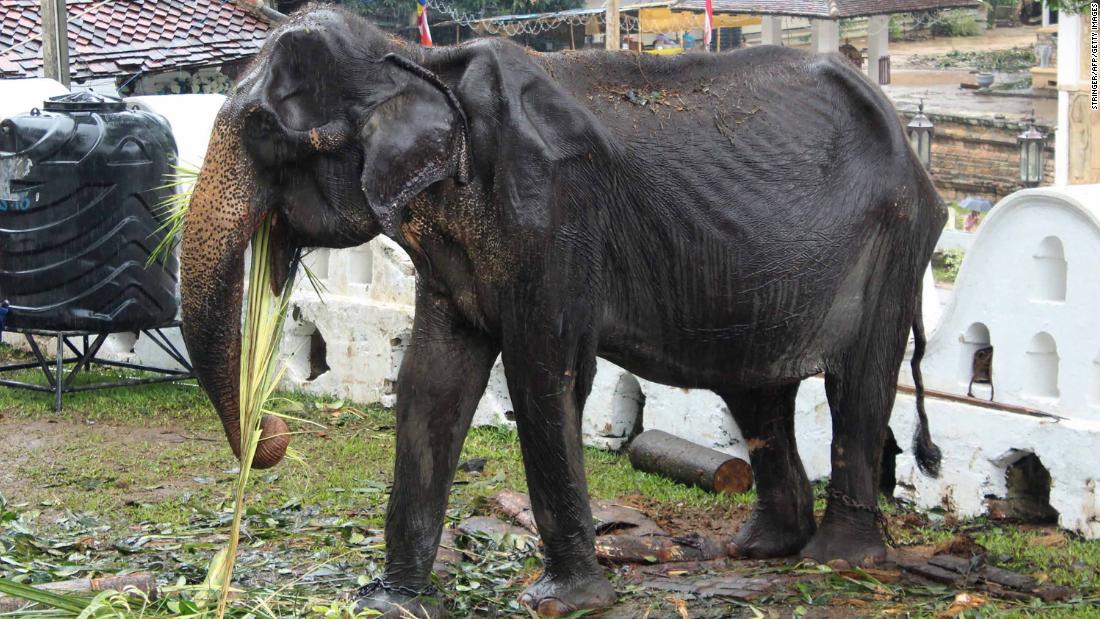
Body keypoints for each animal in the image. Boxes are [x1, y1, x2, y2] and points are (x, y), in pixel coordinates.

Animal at [178, 6, 946, 619]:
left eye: (265, 133)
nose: (273, 428)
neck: (421, 65)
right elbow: (431, 382)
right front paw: (389, 602)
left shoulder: (554, 212)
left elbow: (545, 374)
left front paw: (562, 602)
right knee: (757, 392)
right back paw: (762, 549)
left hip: (895, 242)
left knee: (857, 385)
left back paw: (838, 560)